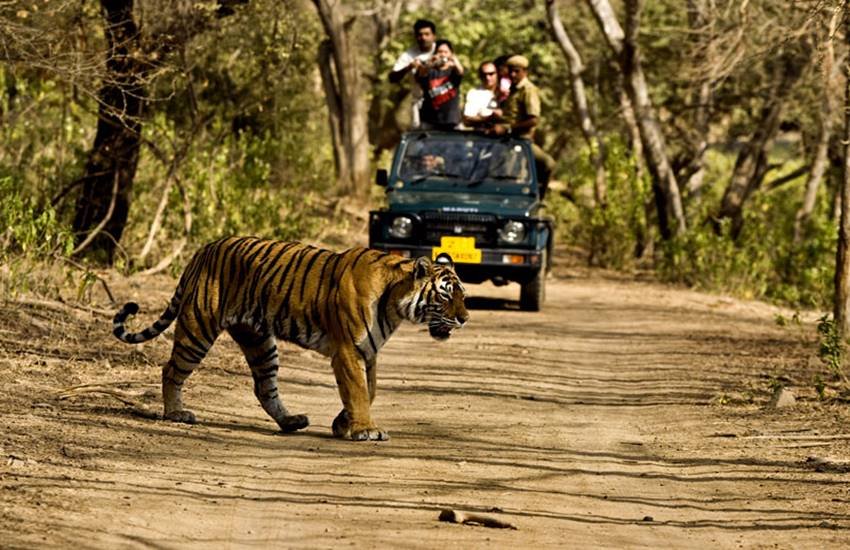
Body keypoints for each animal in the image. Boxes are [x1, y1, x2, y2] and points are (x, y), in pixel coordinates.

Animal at [112, 236, 468, 441]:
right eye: (445, 295)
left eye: (463, 294)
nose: (465, 318)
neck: (395, 302)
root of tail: (203, 249)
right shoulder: (348, 350)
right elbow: (357, 391)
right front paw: (365, 430)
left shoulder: (369, 352)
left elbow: (369, 391)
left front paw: (343, 424)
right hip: (198, 327)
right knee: (171, 370)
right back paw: (176, 413)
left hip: (259, 341)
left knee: (264, 387)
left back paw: (290, 421)